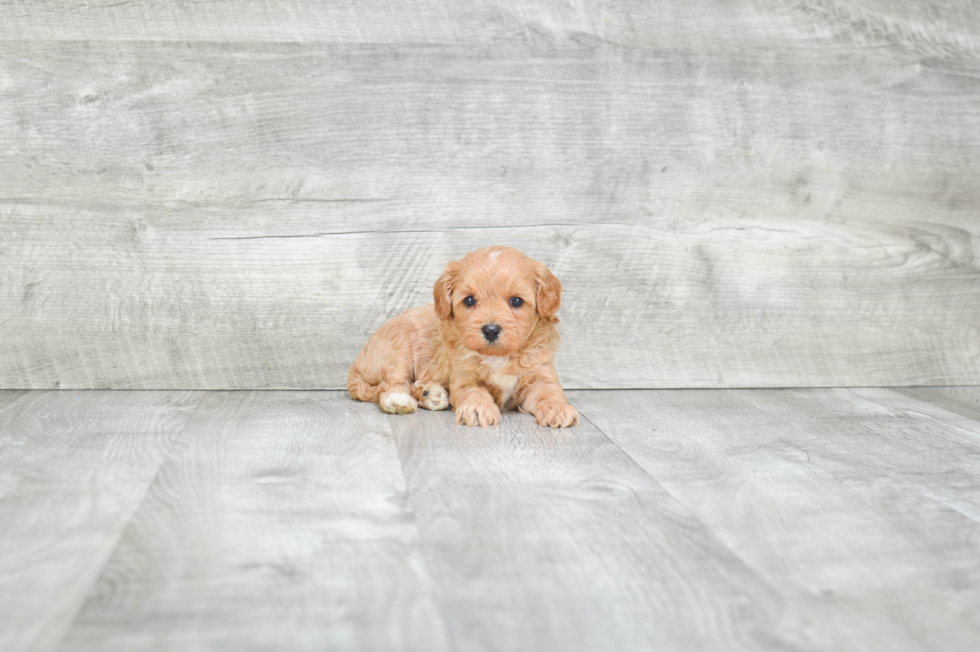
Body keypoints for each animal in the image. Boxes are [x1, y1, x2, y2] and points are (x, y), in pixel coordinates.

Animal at [346, 246, 580, 428]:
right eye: (469, 300)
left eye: (516, 301)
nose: (491, 330)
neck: (498, 356)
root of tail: (355, 367)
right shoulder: (463, 376)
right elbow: (473, 392)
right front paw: (477, 409)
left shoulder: (540, 373)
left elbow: (549, 392)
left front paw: (558, 409)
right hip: (399, 345)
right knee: (390, 384)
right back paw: (399, 400)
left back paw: (429, 393)